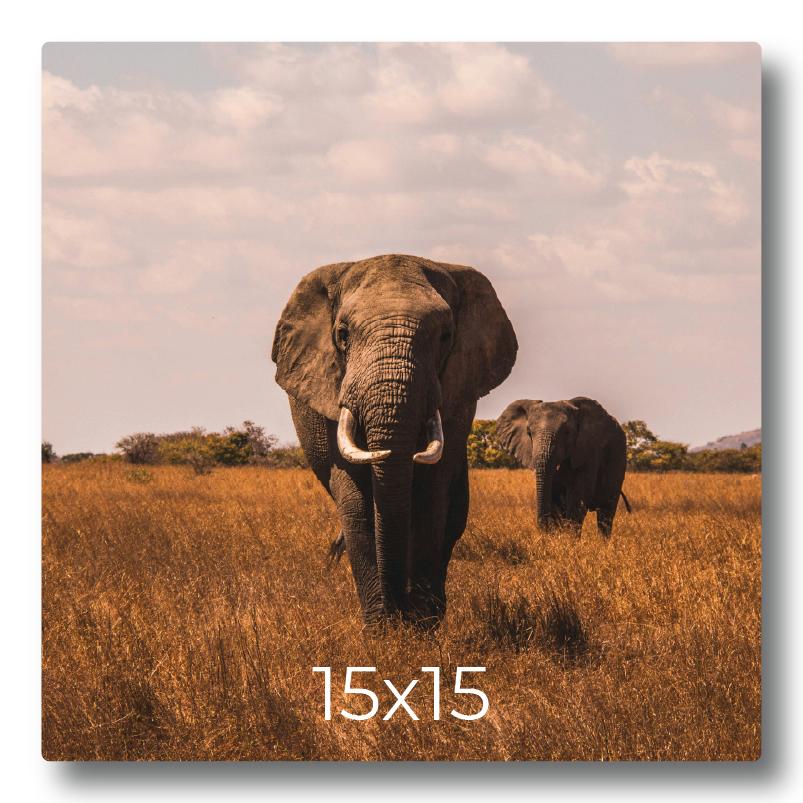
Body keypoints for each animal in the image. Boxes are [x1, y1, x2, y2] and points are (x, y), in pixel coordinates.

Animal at [272, 254, 517, 627]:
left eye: (446, 336)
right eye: (342, 335)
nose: (397, 611)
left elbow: (432, 498)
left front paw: (420, 627)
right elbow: (356, 502)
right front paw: (382, 630)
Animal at [496, 397, 630, 538]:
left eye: (567, 432)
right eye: (529, 433)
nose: (544, 531)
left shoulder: (588, 452)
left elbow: (578, 497)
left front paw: (570, 540)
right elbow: (555, 499)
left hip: (619, 461)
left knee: (606, 513)